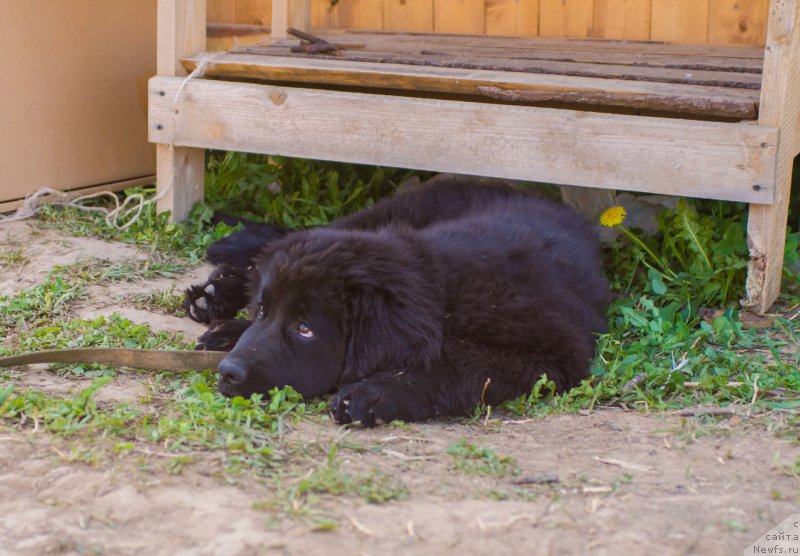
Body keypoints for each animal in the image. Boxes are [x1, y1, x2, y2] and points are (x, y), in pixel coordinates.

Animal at [183, 182, 608, 426]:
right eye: (264, 311)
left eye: (305, 329)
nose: (228, 372)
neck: (445, 290)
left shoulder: (553, 355)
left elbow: (459, 366)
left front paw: (373, 394)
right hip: (380, 217)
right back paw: (215, 296)